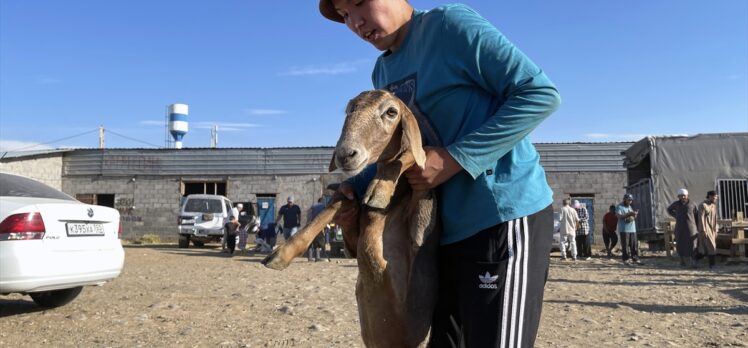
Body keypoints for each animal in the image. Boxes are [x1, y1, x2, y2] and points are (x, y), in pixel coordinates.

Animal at [262, 90, 438, 348]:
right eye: (349, 109)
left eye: (391, 112)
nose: (345, 154)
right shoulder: (353, 220)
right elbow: (333, 206)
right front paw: (281, 254)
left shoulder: (418, 232)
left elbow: (410, 159)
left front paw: (380, 190)